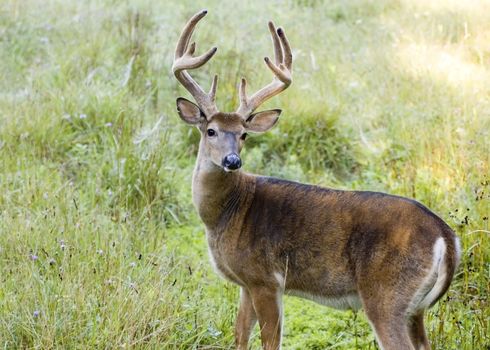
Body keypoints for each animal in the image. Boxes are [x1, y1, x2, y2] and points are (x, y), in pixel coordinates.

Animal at [171, 9, 460, 348]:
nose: (232, 160)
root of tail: (446, 237)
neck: (227, 212)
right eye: (211, 130)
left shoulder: (265, 279)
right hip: (416, 310)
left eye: (243, 134)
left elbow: (270, 340)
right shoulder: (245, 283)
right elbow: (240, 335)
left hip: (387, 297)